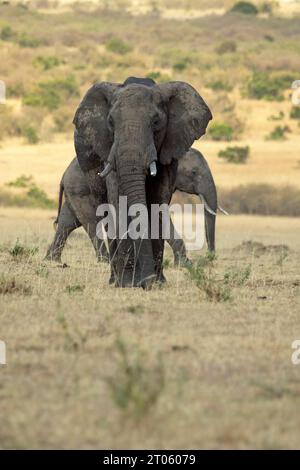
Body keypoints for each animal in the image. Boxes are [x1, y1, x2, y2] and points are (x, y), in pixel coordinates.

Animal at [65, 76, 213, 286]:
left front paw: (157, 282)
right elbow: (119, 201)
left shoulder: (169, 151)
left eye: (156, 122)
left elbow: (158, 202)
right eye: (111, 122)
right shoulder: (110, 151)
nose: (146, 281)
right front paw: (128, 283)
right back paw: (115, 280)